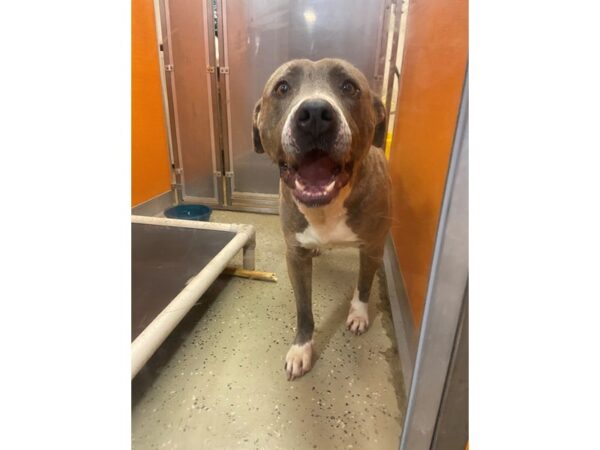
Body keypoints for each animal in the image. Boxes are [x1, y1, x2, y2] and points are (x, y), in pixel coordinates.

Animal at [251, 57, 392, 380]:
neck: (326, 207)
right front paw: (301, 349)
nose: (314, 113)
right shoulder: (295, 255)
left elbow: (364, 284)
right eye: (282, 88)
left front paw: (358, 314)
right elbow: (304, 309)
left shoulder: (371, 246)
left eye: (349, 87)